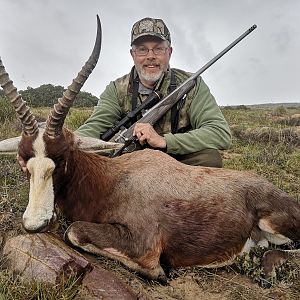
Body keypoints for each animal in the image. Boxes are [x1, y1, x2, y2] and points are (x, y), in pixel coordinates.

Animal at [0, 15, 298, 286]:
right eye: (23, 161)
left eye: (61, 158)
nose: (35, 224)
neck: (111, 179)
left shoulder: (143, 244)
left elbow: (74, 231)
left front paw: (161, 274)